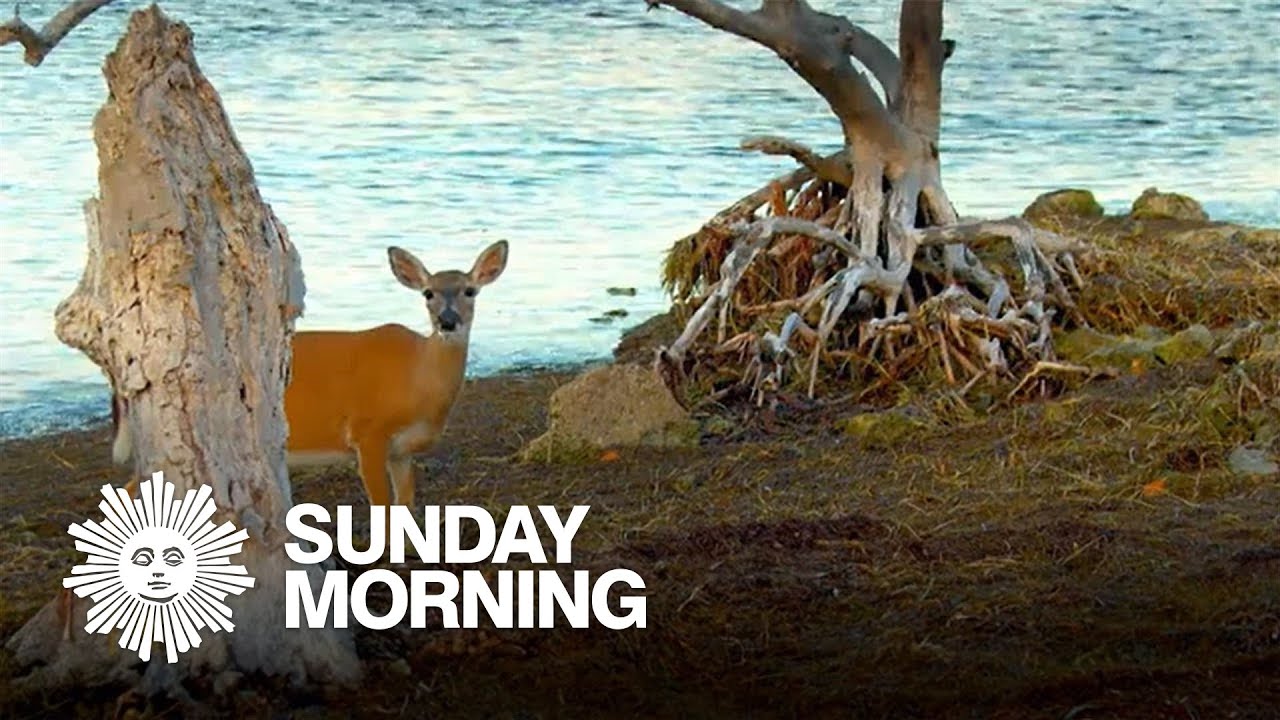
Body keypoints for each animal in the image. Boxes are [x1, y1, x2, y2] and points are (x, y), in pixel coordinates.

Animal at [110, 240, 509, 508]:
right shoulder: (367, 431)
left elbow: (406, 505)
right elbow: (382, 509)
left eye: (470, 290)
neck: (418, 381)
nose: (448, 321)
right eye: (428, 293)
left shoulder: (401, 450)